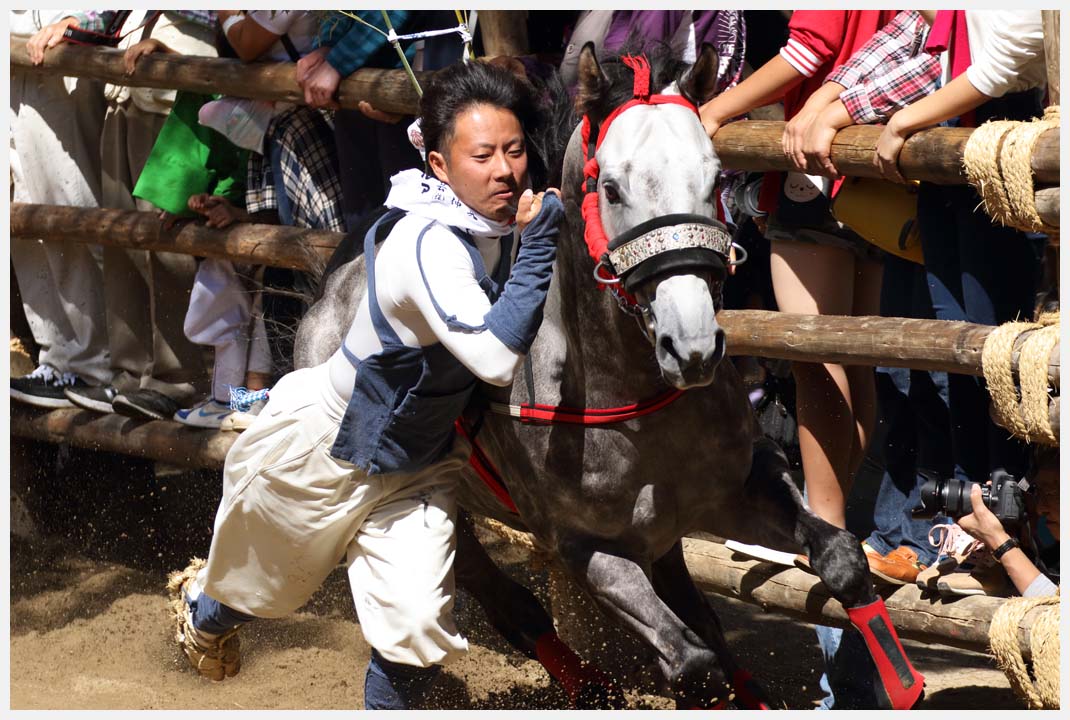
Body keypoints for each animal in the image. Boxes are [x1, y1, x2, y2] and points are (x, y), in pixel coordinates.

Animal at [297, 44, 924, 706]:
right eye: (613, 188)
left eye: (715, 178)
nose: (692, 346)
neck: (629, 397)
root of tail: (333, 286)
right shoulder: (586, 548)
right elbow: (690, 660)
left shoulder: (739, 488)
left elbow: (840, 559)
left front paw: (899, 681)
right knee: (508, 605)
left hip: (662, 534)